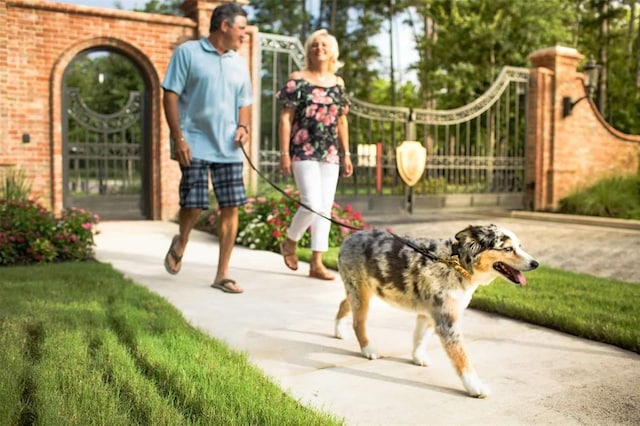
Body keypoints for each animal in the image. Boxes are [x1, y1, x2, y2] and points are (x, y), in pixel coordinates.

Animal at [336, 225, 540, 398]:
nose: (536, 264)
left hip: (359, 292)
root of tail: (349, 237)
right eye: (508, 249)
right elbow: (462, 357)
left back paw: (339, 331)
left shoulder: (429, 314)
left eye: (519, 246)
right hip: (361, 293)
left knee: (343, 304)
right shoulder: (447, 321)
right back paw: (368, 349)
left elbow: (420, 338)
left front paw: (418, 358)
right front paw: (475, 387)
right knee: (358, 322)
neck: (456, 263)